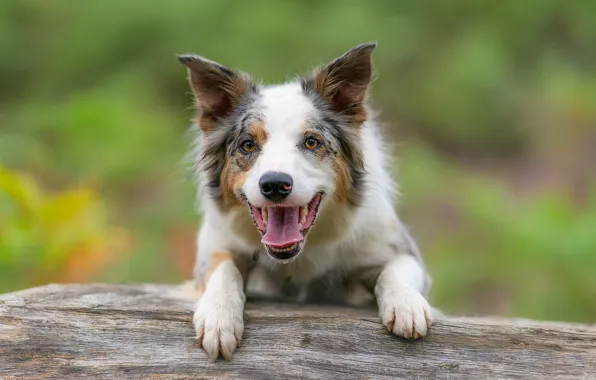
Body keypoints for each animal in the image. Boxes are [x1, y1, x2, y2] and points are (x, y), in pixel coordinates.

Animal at [177, 43, 434, 360]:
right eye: (248, 145)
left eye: (312, 142)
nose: (274, 185)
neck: (298, 258)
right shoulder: (214, 248)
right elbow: (223, 269)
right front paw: (218, 317)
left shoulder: (398, 249)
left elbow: (396, 271)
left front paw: (407, 306)